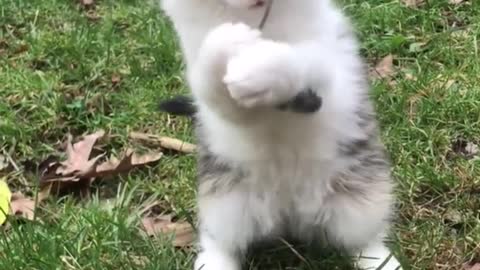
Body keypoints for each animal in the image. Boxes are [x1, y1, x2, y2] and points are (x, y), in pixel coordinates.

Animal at [160, 0, 402, 270]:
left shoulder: (328, 56)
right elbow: (212, 83)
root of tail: (291, 214)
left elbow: (300, 58)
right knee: (220, 242)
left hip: (360, 202)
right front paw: (226, 43)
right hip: (228, 205)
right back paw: (214, 263)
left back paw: (383, 263)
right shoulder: (216, 96)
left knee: (365, 243)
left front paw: (261, 67)